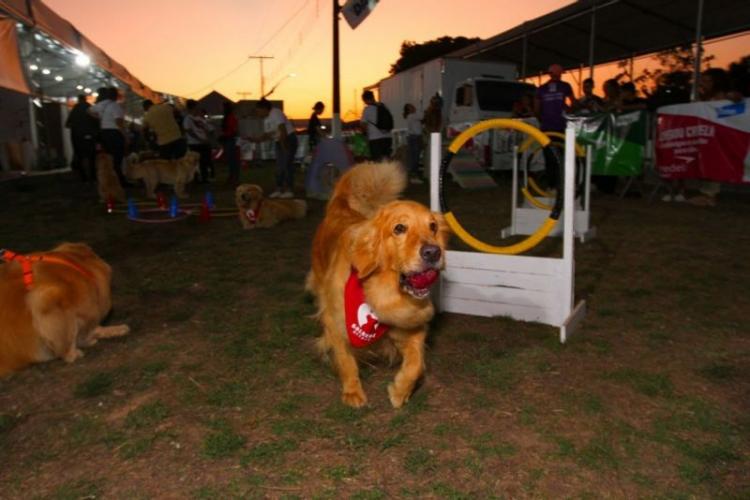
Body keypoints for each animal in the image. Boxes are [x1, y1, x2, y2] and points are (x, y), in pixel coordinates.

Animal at [306, 162, 450, 408]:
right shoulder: (335, 322)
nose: (433, 252)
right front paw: (352, 391)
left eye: (432, 226)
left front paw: (400, 391)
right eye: (399, 228)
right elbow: (345, 359)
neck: (380, 292)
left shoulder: (411, 323)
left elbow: (415, 365)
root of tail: (340, 207)